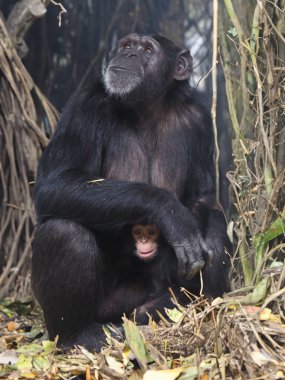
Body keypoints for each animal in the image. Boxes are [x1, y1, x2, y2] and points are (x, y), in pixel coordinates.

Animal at [31, 34, 231, 352]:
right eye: (127, 45)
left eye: (148, 50)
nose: (131, 54)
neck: (148, 108)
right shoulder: (85, 108)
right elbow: (55, 182)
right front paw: (171, 214)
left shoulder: (199, 122)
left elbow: (204, 198)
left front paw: (213, 253)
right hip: (99, 308)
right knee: (65, 233)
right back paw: (79, 335)